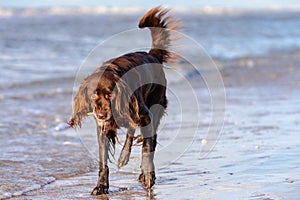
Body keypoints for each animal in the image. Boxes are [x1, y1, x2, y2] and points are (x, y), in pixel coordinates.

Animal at [68, 6, 180, 195]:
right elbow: (103, 160)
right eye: (93, 96)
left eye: (110, 95)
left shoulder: (145, 116)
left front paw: (148, 176)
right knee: (131, 131)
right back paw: (123, 157)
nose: (101, 114)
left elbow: (147, 147)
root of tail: (152, 55)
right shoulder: (103, 128)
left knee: (150, 138)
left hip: (154, 107)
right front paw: (101, 186)